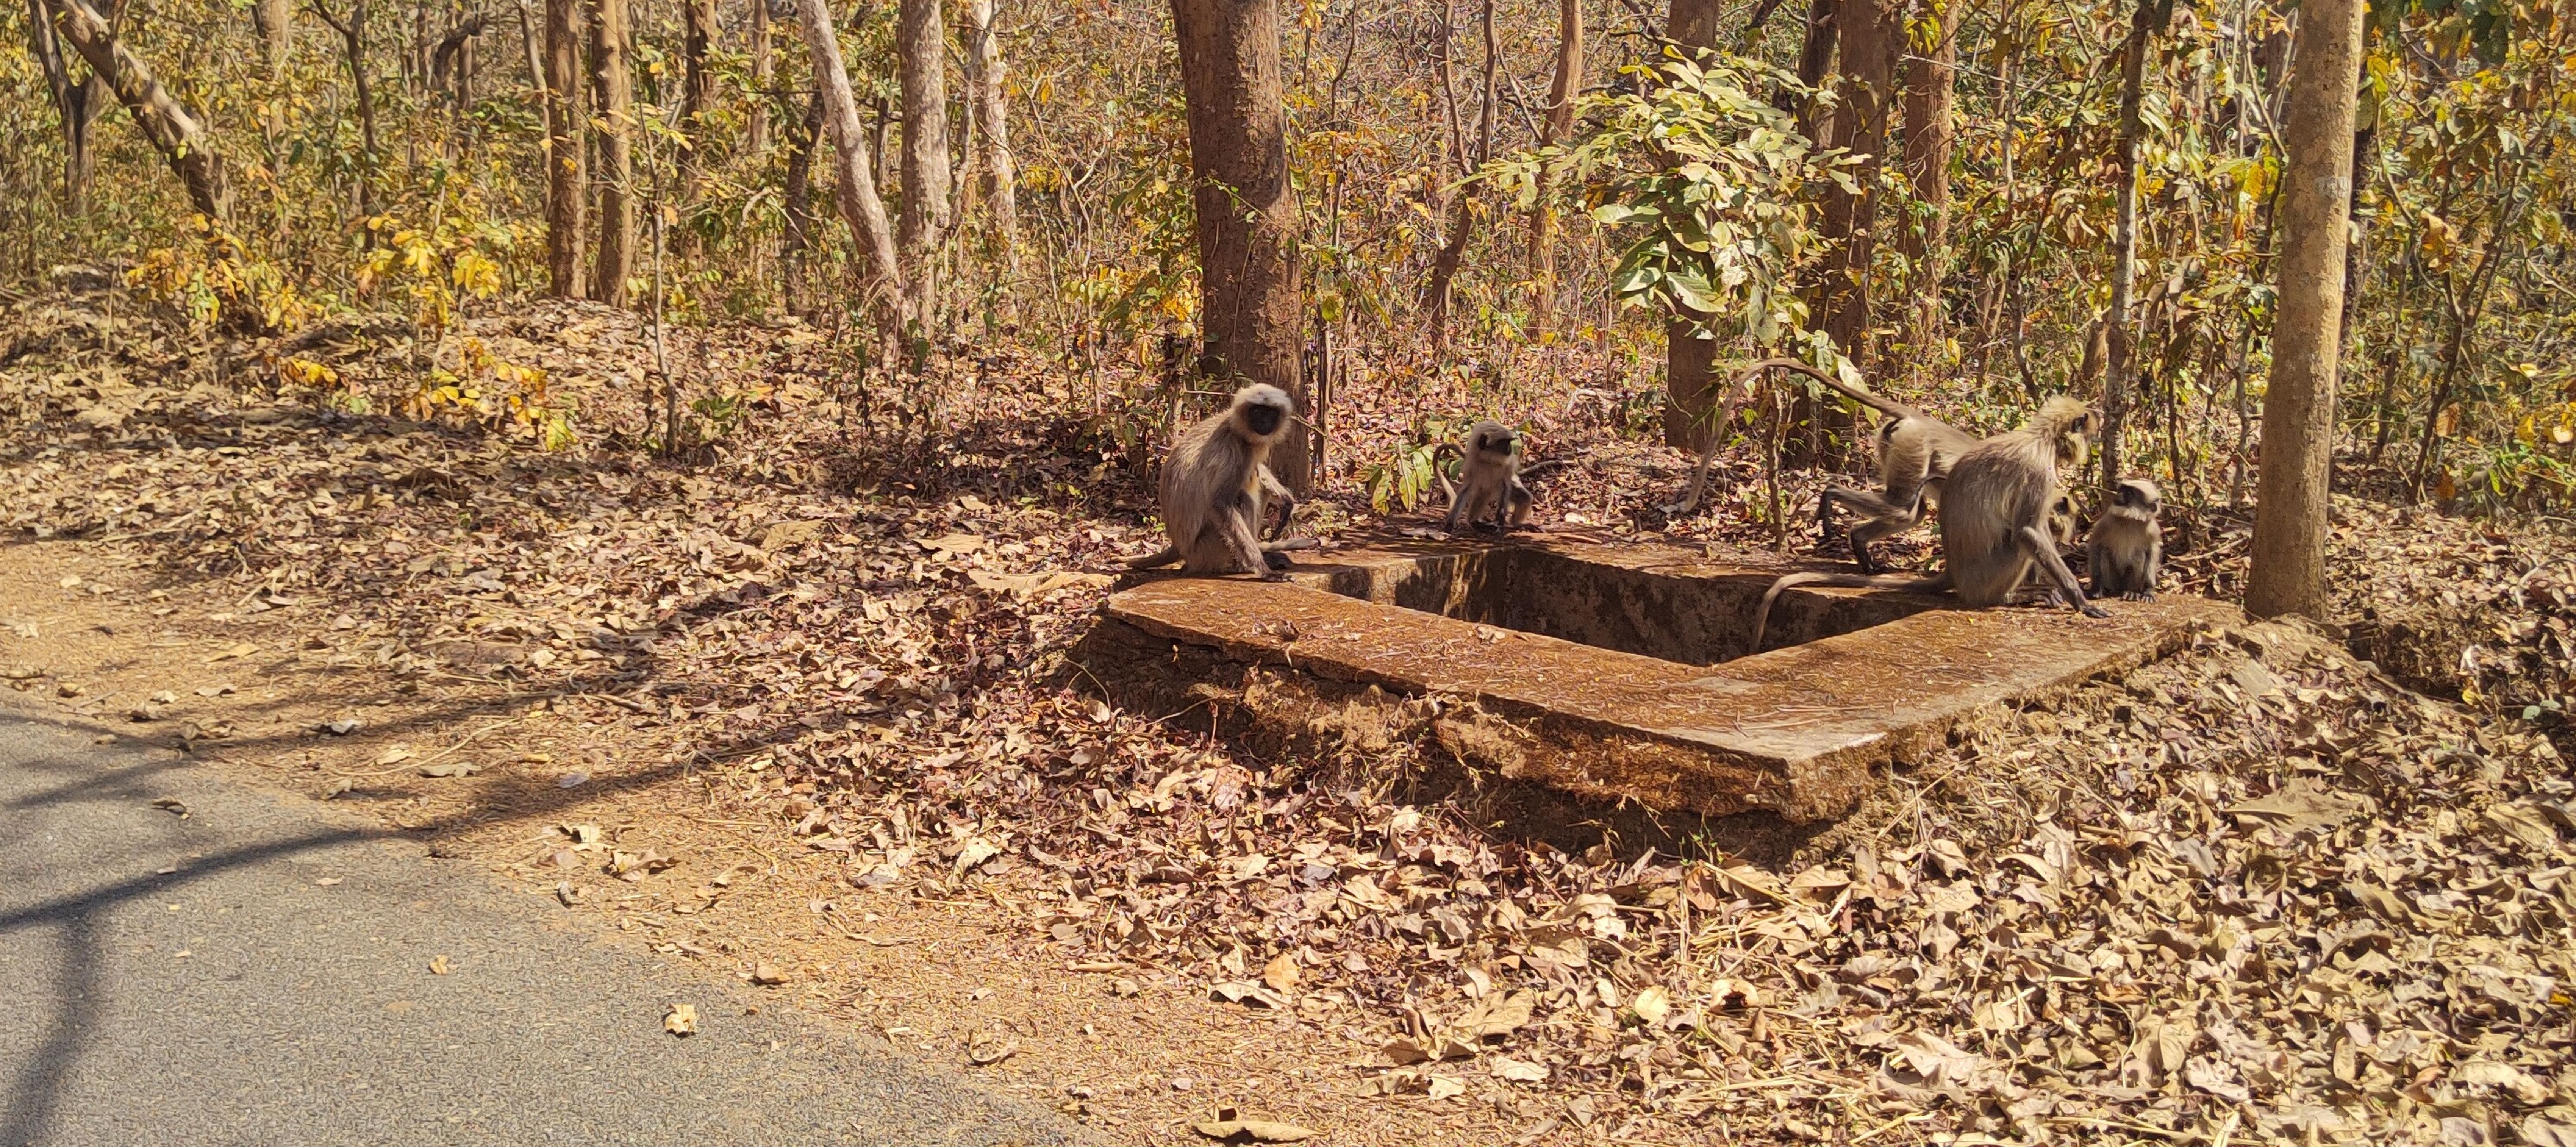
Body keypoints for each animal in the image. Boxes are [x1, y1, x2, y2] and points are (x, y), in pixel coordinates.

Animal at [1128, 386, 1319, 580]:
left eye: (1270, 413)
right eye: (1257, 411)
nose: (1264, 422)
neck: (1234, 425)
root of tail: (1179, 548)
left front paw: (1286, 499)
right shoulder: (1236, 450)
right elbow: (1220, 504)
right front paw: (1264, 570)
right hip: (1207, 550)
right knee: (1241, 498)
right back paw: (1244, 566)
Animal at [1453, 417, 1525, 531]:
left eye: (1509, 442)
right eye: (1504, 442)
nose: (1510, 448)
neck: (1490, 460)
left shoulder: (1507, 466)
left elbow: (1506, 485)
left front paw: (1501, 517)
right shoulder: (1472, 464)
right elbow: (1466, 489)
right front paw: (1449, 524)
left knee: (1524, 498)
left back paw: (1517, 525)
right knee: (1482, 495)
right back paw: (1475, 522)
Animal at [1752, 397, 2112, 652]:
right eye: (2089, 437)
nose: (2089, 450)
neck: (2040, 437)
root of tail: (1954, 573)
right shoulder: (2039, 471)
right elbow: (2028, 531)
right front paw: (2080, 600)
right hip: (1987, 575)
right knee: (2013, 543)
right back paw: (2010, 597)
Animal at [2081, 477, 2164, 598]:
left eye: (2129, 494)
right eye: (2121, 490)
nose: (2118, 494)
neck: (2130, 520)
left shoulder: (2152, 529)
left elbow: (2152, 551)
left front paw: (2148, 590)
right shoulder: (2108, 521)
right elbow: (2096, 545)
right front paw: (2096, 588)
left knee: (2140, 555)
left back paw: (2132, 592)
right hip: (2113, 581)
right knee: (2105, 552)